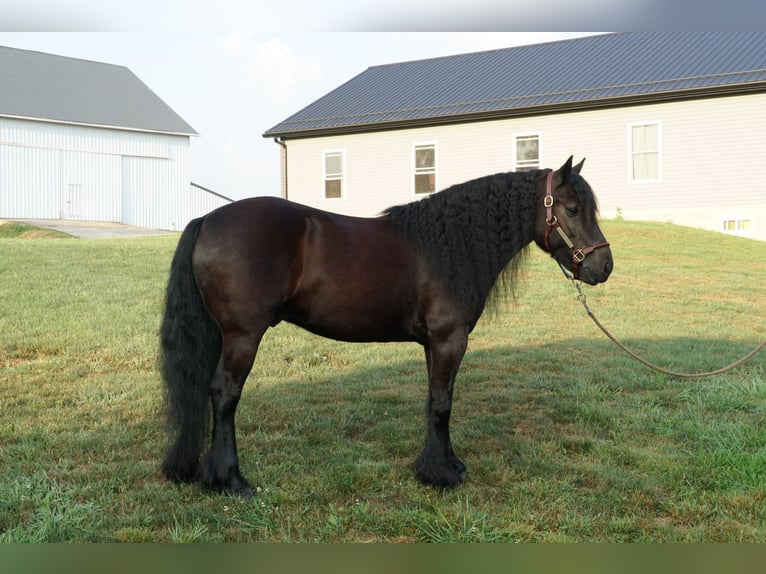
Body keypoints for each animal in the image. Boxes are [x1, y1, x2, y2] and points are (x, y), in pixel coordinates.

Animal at [159, 156, 613, 498]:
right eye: (572, 209)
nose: (603, 266)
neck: (449, 244)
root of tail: (207, 219)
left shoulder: (434, 344)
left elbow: (435, 401)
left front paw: (446, 464)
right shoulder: (449, 341)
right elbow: (443, 404)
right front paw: (440, 475)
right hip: (242, 337)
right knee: (224, 394)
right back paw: (230, 480)